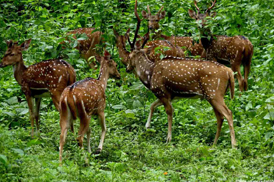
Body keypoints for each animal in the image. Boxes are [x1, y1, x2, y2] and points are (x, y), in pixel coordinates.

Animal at [125, 0, 237, 148]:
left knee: (228, 114)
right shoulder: (170, 95)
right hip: (213, 95)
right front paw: (147, 126)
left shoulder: (161, 91)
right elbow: (152, 105)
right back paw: (214, 144)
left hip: (214, 92)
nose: (127, 68)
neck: (149, 75)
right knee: (220, 117)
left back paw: (234, 145)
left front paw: (168, 139)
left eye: (129, 55)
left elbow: (169, 112)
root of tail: (229, 72)